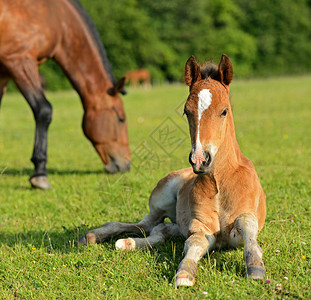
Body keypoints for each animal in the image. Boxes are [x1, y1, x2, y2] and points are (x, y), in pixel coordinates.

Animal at [0, 0, 131, 188]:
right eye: (121, 119)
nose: (126, 164)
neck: (58, 19)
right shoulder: (19, 61)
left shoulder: (4, 73)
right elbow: (43, 110)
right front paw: (40, 174)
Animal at [79, 55, 266, 288]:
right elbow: (194, 243)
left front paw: (255, 267)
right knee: (145, 225)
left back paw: (126, 243)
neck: (220, 183)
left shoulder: (241, 226)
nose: (200, 160)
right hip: (161, 199)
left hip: (176, 223)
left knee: (159, 231)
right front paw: (185, 273)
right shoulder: (199, 227)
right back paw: (97, 237)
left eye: (224, 111)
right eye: (186, 111)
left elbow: (246, 224)